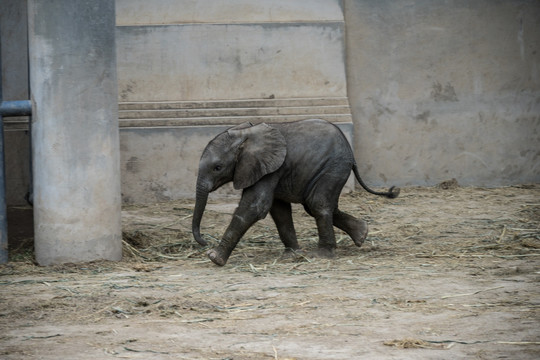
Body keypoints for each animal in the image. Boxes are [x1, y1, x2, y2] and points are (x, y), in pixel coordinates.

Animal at [192, 118, 398, 264]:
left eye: (217, 167)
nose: (204, 242)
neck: (244, 134)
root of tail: (352, 156)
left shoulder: (268, 168)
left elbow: (255, 206)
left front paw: (214, 258)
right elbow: (279, 210)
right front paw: (292, 256)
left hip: (333, 167)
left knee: (317, 203)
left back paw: (322, 255)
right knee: (320, 205)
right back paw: (362, 234)